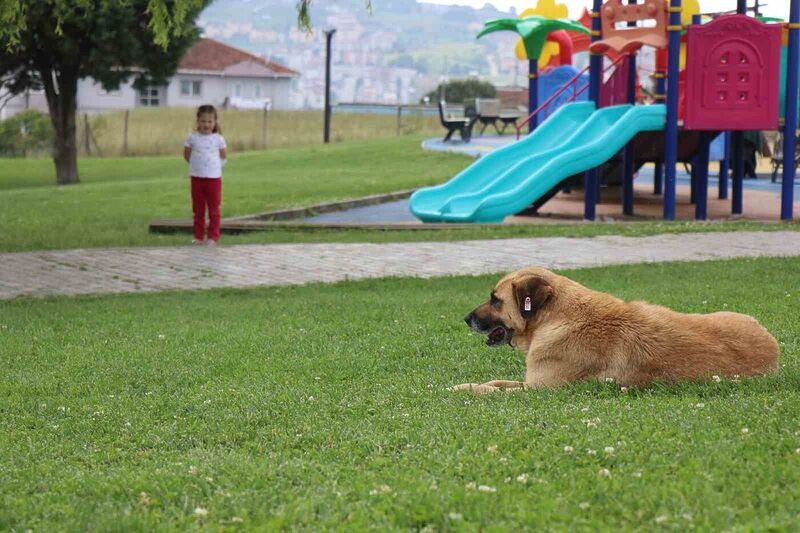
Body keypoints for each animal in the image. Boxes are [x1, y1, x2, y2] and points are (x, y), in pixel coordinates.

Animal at [450, 268, 780, 392]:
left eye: (495, 300)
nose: (465, 319)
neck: (556, 317)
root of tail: (773, 346)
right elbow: (495, 381)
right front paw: (462, 385)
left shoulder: (539, 390)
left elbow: (492, 390)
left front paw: (465, 390)